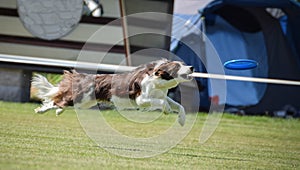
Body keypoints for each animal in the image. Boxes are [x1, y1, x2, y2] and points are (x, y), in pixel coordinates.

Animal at [31, 59, 193, 125]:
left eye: (183, 64)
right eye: (177, 67)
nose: (192, 67)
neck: (159, 82)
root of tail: (82, 77)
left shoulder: (161, 95)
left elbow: (178, 105)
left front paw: (182, 120)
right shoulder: (141, 99)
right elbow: (162, 103)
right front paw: (167, 110)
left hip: (85, 102)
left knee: (61, 103)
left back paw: (59, 111)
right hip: (82, 98)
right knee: (55, 101)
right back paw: (41, 110)